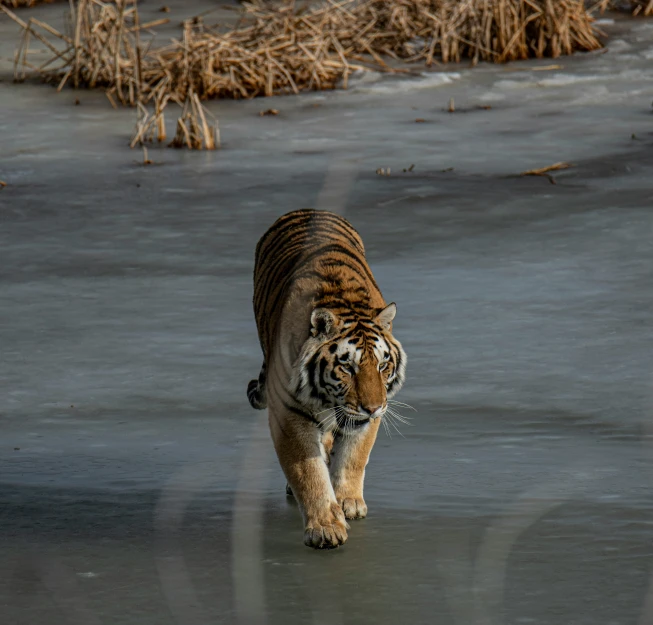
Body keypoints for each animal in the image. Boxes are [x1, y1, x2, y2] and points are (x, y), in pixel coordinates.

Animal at [247, 208, 404, 544]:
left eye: (382, 366)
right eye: (347, 367)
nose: (373, 408)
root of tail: (306, 209)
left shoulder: (369, 416)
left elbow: (354, 456)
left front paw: (349, 502)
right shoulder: (288, 411)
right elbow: (308, 471)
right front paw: (325, 527)